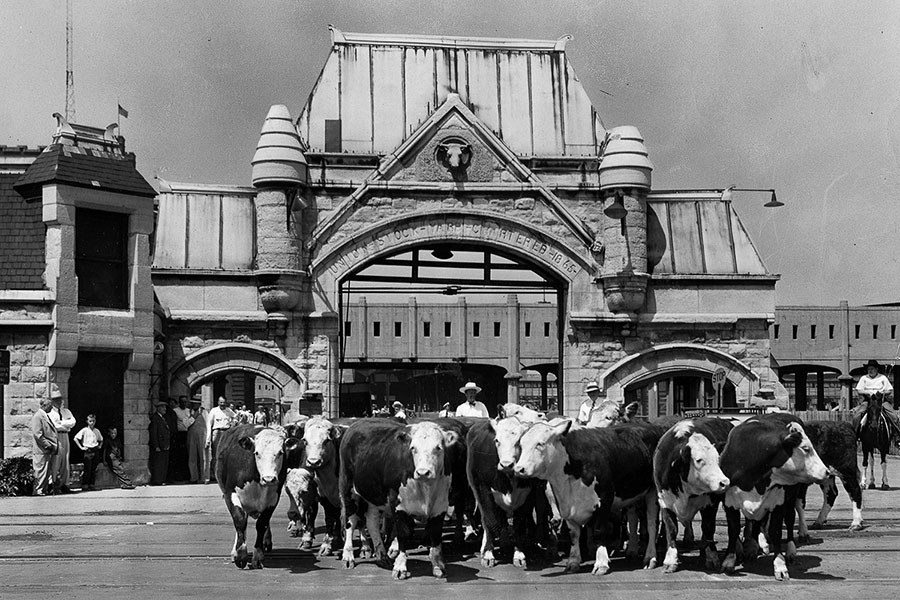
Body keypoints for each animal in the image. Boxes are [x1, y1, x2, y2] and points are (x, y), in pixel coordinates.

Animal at [215, 424, 300, 568]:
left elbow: (262, 524)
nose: (269, 479)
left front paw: (258, 555)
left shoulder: (273, 499)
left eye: (280, 452)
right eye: (257, 453)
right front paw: (240, 554)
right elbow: (239, 520)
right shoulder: (229, 493)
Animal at [342, 420, 460, 580]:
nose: (423, 472)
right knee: (351, 521)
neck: (426, 487)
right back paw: (348, 556)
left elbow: (435, 534)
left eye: (438, 448)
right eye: (413, 448)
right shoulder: (398, 505)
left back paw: (382, 555)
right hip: (348, 489)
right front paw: (400, 567)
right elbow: (403, 533)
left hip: (374, 496)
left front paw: (438, 566)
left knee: (372, 523)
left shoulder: (440, 506)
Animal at [512, 420, 660, 576]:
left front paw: (601, 563)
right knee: (632, 518)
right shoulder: (566, 505)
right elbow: (574, 535)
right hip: (630, 494)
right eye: (521, 444)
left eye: (540, 444)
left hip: (653, 492)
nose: (518, 469)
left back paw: (650, 558)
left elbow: (599, 532)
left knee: (652, 524)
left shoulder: (604, 501)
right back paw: (632, 550)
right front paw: (573, 562)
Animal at [652, 418, 736, 572]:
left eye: (717, 458)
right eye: (698, 460)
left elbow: (708, 528)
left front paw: (712, 557)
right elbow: (671, 529)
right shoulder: (665, 501)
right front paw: (670, 560)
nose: (724, 482)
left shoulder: (710, 504)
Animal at [716, 414, 828, 580]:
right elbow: (734, 530)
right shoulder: (729, 503)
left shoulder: (778, 504)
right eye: (806, 448)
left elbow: (776, 532)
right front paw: (729, 561)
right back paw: (752, 546)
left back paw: (791, 549)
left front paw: (780, 565)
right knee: (756, 522)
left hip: (793, 496)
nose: (827, 472)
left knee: (791, 518)